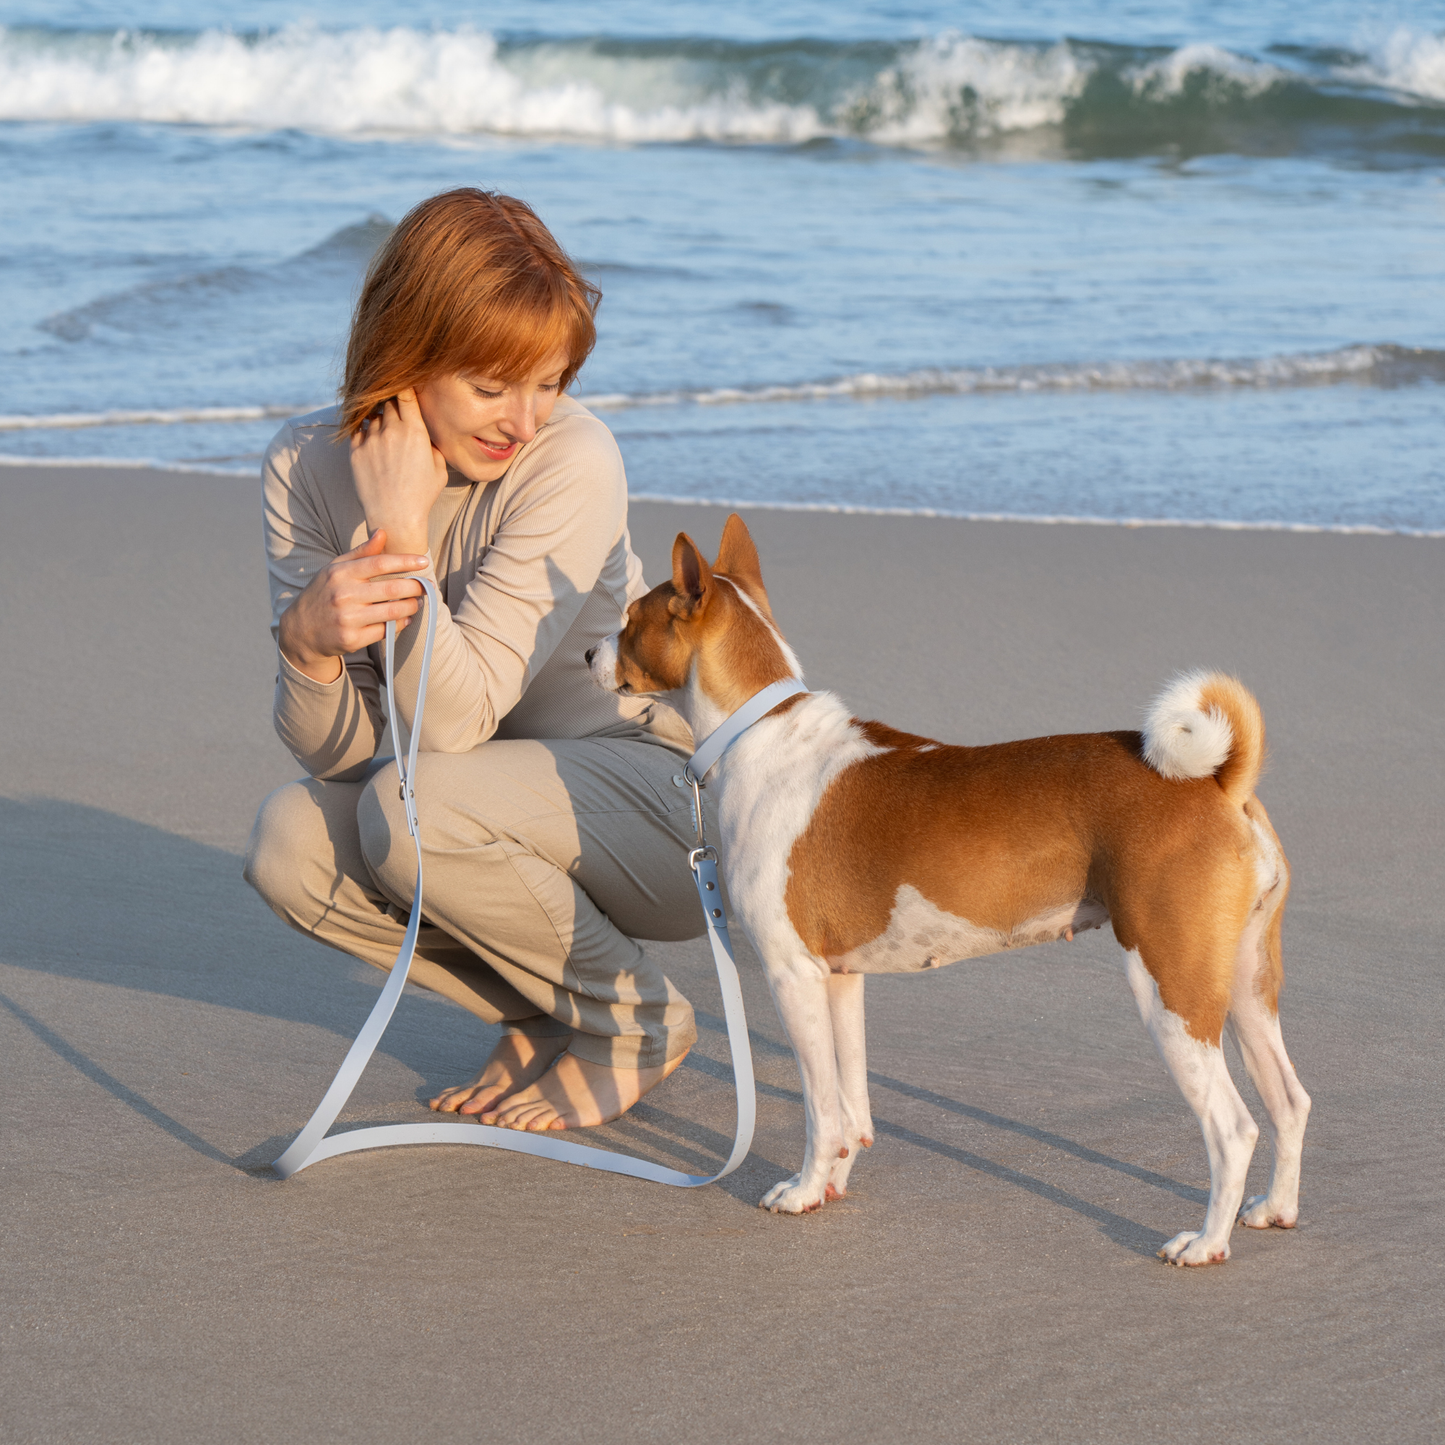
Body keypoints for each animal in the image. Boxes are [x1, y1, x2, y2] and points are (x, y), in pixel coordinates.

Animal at [583, 517, 1312, 1265]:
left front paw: (804, 1189)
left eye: (629, 618)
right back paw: (1274, 1208)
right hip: (1244, 984)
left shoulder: (792, 975)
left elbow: (821, 1109)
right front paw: (833, 1182)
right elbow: (852, 1107)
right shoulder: (840, 978)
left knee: (1232, 1127)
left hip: (1171, 986)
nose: (584, 651)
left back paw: (1206, 1241)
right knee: (1290, 1101)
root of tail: (1218, 781)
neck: (760, 730)